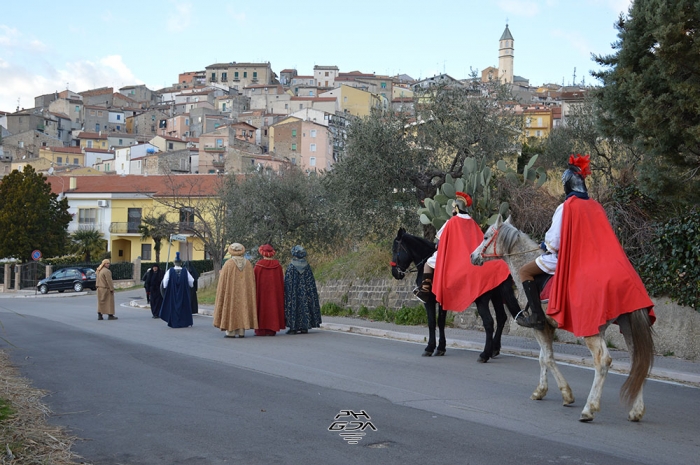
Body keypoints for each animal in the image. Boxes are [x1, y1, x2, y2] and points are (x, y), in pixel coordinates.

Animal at [392, 227, 524, 360]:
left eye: (394, 250)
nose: (395, 273)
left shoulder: (429, 301)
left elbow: (432, 322)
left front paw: (429, 348)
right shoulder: (442, 301)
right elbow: (441, 322)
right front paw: (441, 348)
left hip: (482, 301)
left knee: (489, 323)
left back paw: (484, 354)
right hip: (496, 296)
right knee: (501, 318)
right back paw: (494, 349)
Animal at [470, 216, 656, 422]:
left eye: (486, 237)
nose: (473, 256)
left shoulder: (539, 326)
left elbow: (548, 358)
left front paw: (566, 394)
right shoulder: (548, 327)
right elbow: (543, 358)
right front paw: (541, 390)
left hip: (592, 331)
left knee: (603, 362)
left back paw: (589, 409)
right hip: (628, 327)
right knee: (638, 361)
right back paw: (636, 410)